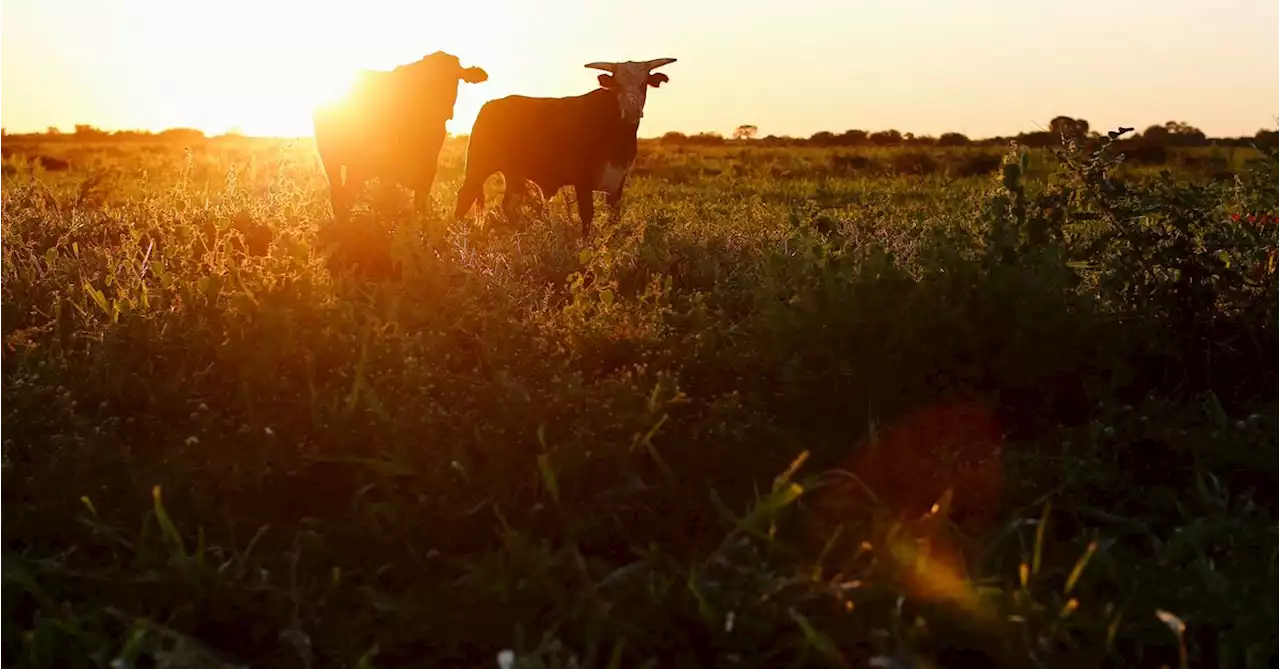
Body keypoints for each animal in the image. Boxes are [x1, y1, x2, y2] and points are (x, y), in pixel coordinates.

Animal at [312, 51, 486, 222]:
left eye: (456, 76)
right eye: (427, 79)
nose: (444, 110)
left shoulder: (429, 165)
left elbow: (419, 202)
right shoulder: (389, 169)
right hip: (335, 159)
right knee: (342, 193)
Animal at [453, 56, 675, 237]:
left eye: (643, 83)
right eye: (617, 85)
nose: (631, 110)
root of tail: (491, 104)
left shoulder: (617, 181)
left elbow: (614, 218)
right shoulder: (582, 181)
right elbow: (587, 216)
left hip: (515, 173)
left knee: (509, 204)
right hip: (479, 166)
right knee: (465, 196)